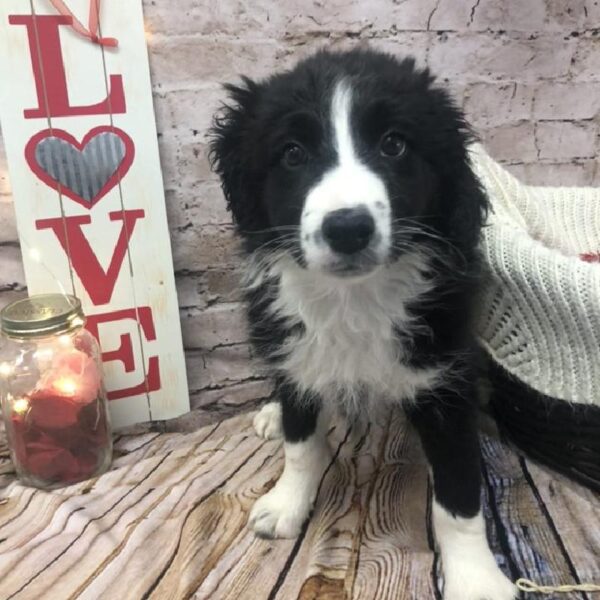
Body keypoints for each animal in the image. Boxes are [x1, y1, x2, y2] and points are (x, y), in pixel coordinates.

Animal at [210, 48, 516, 600]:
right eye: (292, 153)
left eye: (394, 144)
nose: (348, 228)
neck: (353, 298)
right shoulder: (299, 355)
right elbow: (301, 443)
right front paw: (286, 504)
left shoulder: (444, 379)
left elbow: (458, 495)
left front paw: (477, 578)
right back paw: (270, 414)